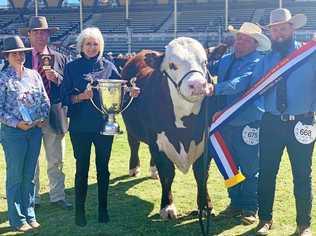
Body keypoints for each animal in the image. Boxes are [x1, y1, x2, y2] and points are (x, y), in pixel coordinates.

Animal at [120, 37, 215, 223]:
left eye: (205, 62)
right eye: (172, 65)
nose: (198, 85)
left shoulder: (206, 141)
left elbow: (201, 174)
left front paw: (205, 205)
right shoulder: (158, 141)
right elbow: (167, 174)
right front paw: (167, 207)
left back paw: (153, 170)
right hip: (133, 127)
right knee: (134, 144)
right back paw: (134, 168)